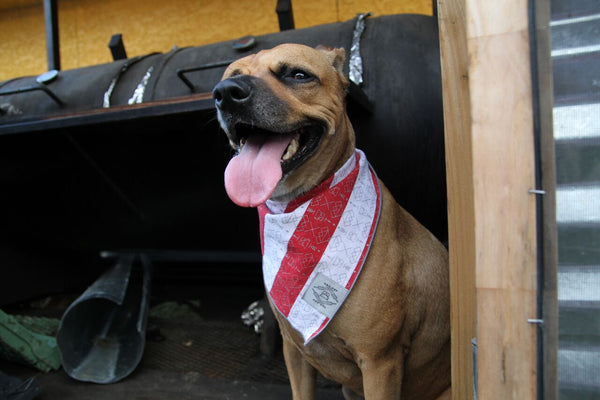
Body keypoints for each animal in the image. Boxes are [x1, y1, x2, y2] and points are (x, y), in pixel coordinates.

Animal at [213, 44, 448, 400]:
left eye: (298, 74)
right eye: (231, 76)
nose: (226, 93)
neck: (300, 208)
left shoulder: (380, 363)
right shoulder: (294, 350)